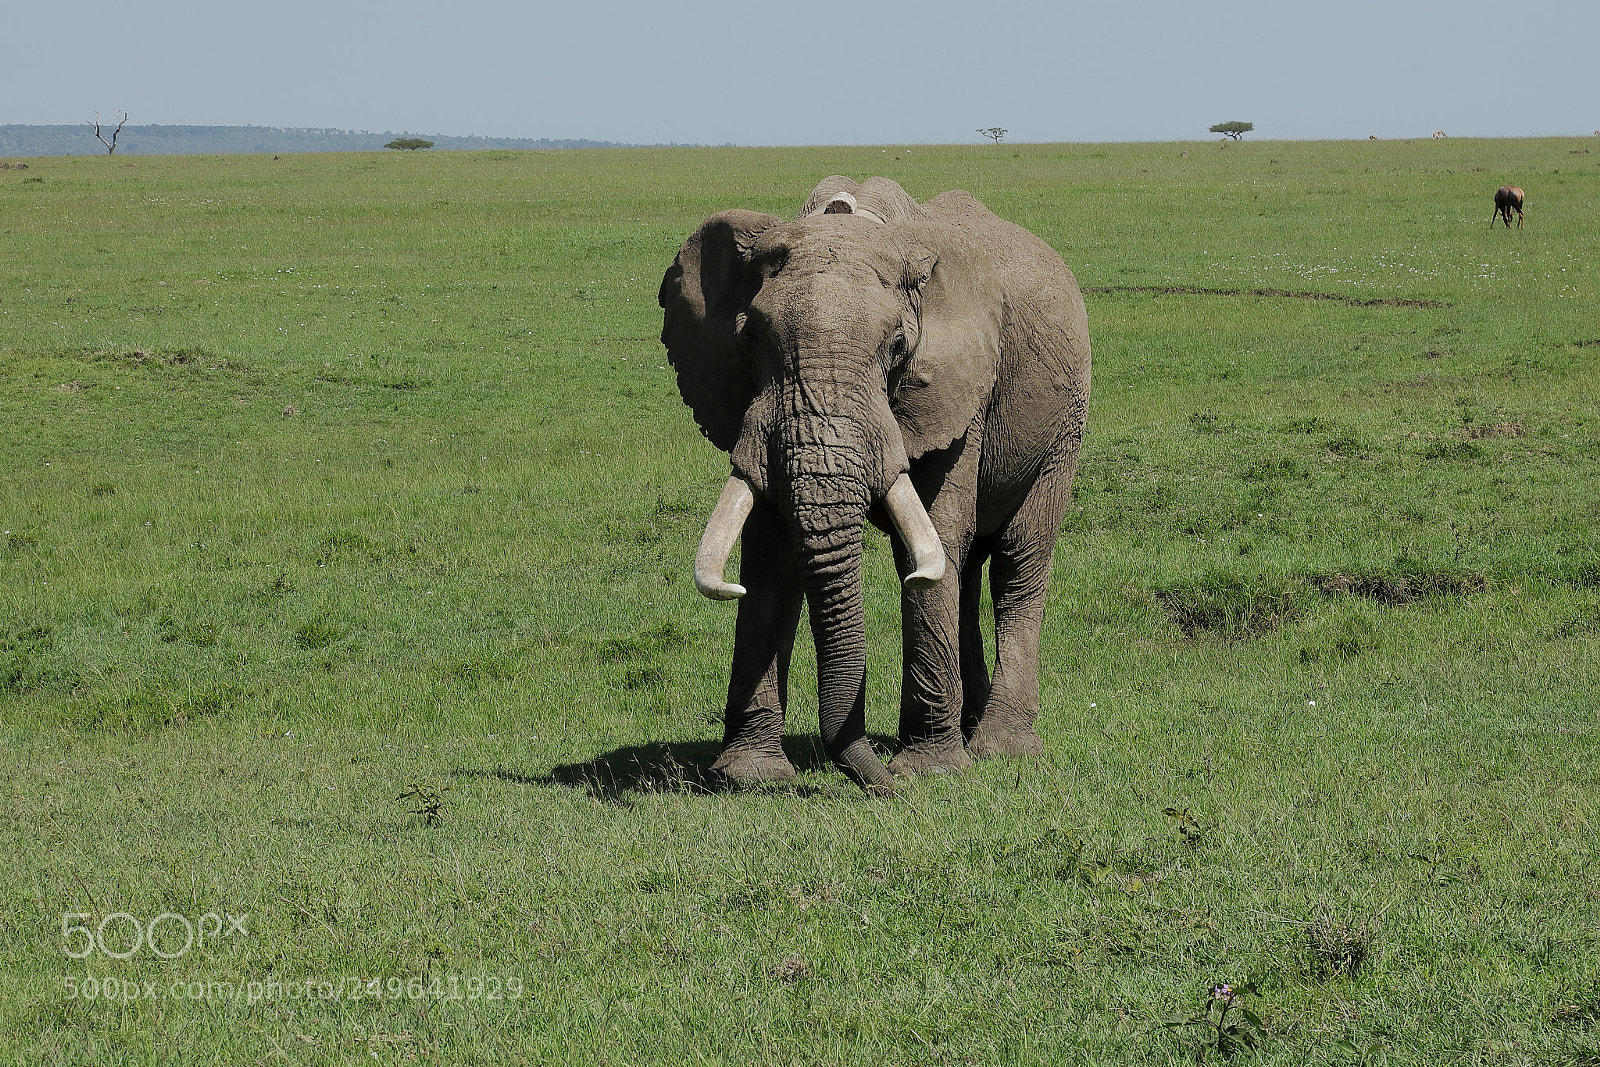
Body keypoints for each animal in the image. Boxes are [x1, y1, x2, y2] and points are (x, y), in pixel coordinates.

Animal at [657, 176, 1091, 793]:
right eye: (753, 338)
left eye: (896, 347)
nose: (882, 785)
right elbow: (770, 551)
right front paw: (750, 777)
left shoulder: (959, 387)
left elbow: (935, 534)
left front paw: (930, 771)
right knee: (968, 569)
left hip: (1065, 423)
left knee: (1016, 560)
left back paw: (1000, 747)